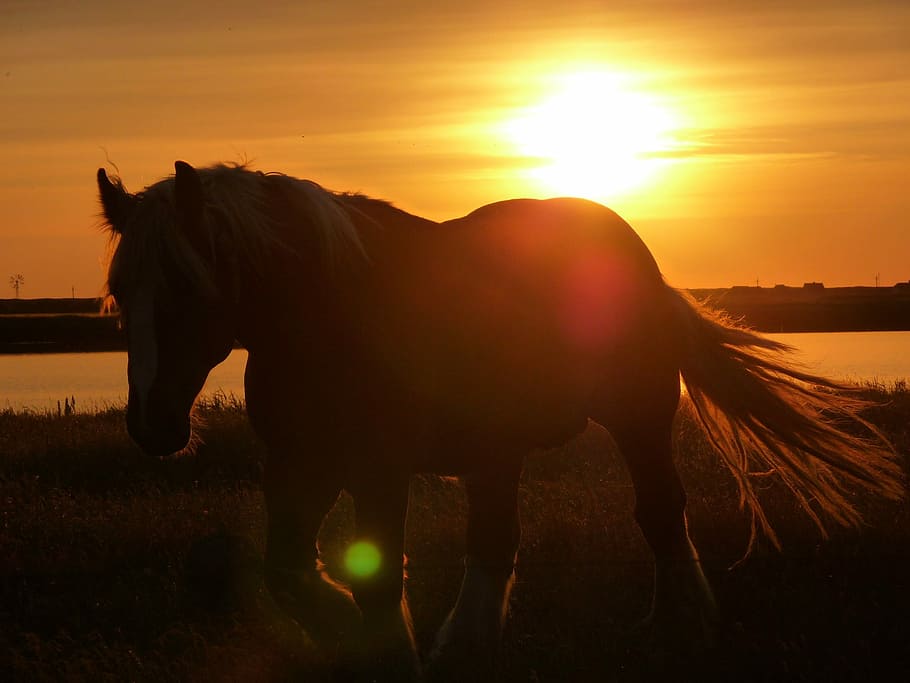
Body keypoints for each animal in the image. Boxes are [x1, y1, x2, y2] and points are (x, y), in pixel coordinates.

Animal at [97, 161, 902, 681]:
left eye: (187, 286)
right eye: (120, 292)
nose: (153, 425)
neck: (335, 312)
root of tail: (631, 247)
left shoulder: (379, 471)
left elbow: (377, 577)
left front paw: (388, 652)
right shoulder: (299, 466)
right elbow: (289, 574)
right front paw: (358, 638)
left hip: (638, 417)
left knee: (659, 512)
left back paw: (681, 623)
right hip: (495, 453)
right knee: (495, 540)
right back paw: (467, 646)